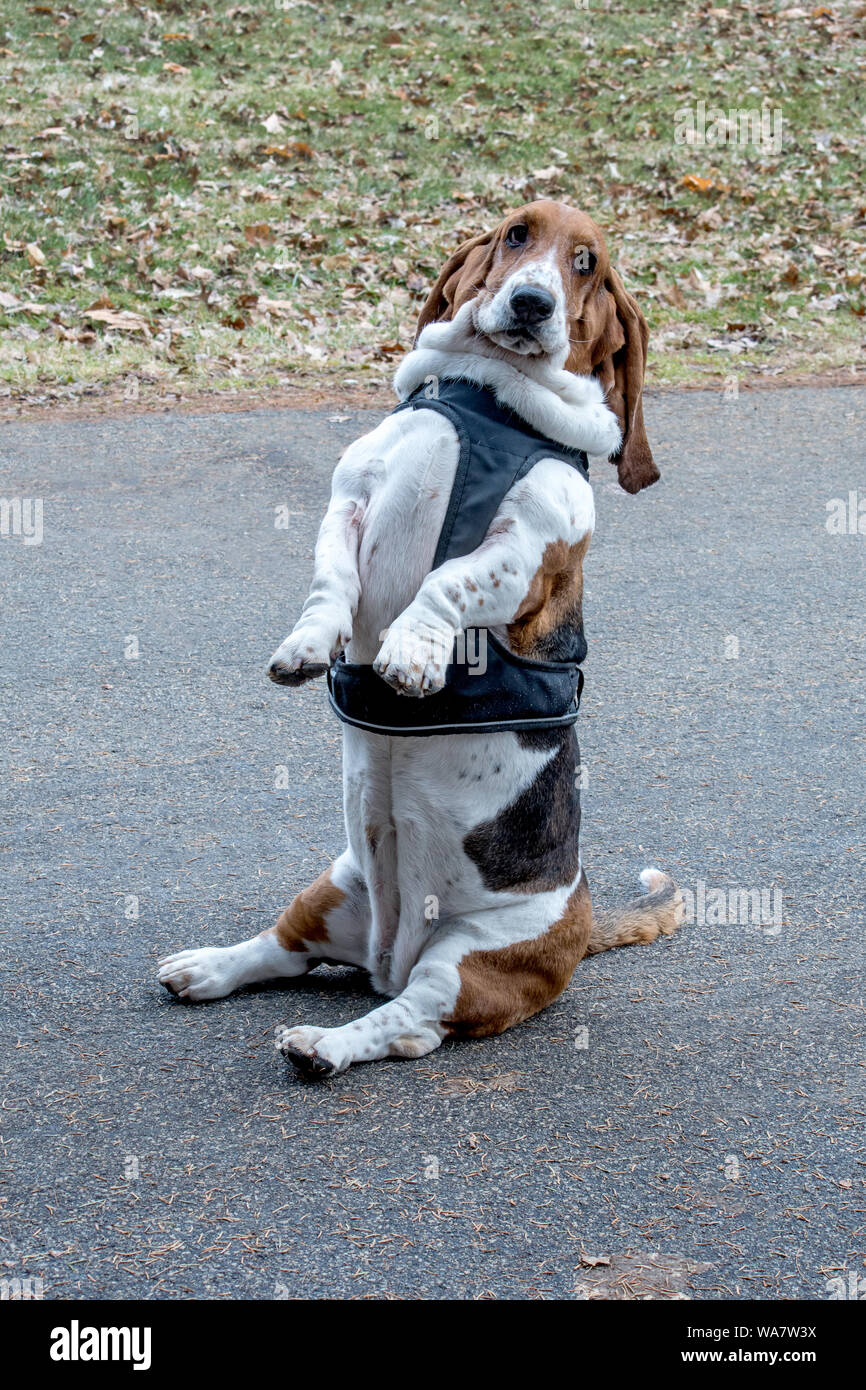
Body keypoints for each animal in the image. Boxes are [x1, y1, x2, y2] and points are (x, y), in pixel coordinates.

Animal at [157, 201, 683, 1078]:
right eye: (515, 235)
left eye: (586, 263)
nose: (533, 303)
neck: (490, 398)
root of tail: (387, 955)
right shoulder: (350, 498)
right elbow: (331, 581)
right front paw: (309, 645)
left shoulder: (524, 549)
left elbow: (448, 582)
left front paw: (409, 653)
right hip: (333, 887)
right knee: (282, 951)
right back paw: (206, 968)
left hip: (465, 959)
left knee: (408, 1024)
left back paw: (324, 1045)